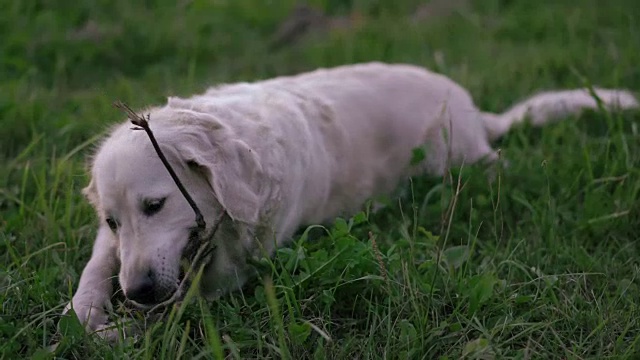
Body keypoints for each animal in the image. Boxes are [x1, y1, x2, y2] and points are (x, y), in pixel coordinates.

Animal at [63, 61, 636, 338]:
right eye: (113, 221)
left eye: (156, 206)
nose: (138, 292)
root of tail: (476, 111)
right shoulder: (114, 249)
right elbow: (93, 274)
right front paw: (90, 314)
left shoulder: (241, 265)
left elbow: (187, 302)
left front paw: (133, 329)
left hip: (458, 157)